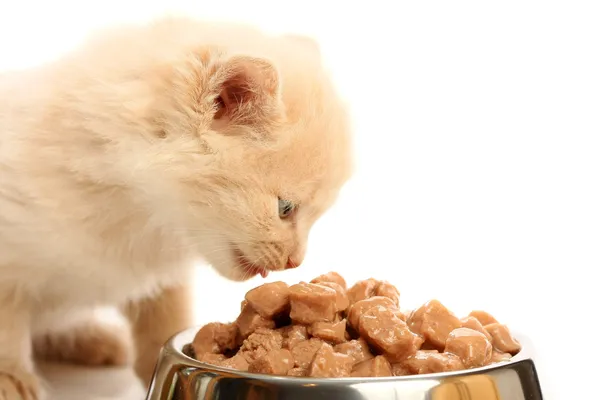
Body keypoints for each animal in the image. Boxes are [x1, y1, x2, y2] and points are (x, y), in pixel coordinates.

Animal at [0, 16, 354, 400]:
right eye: (286, 208)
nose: (295, 262)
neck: (138, 211)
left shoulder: (164, 278)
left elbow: (164, 324)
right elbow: (7, 326)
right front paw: (9, 378)